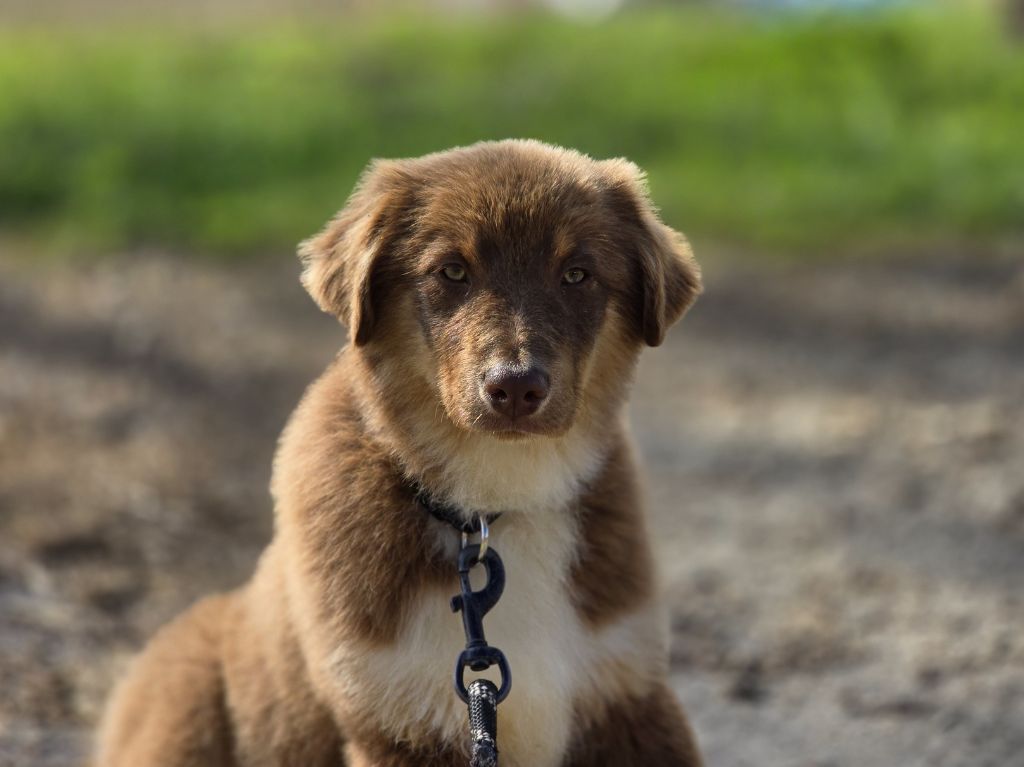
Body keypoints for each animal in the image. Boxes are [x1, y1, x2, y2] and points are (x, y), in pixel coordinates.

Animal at [95, 139, 704, 766]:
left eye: (577, 274)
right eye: (452, 271)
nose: (515, 387)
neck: (495, 498)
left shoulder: (631, 691)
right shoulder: (392, 718)